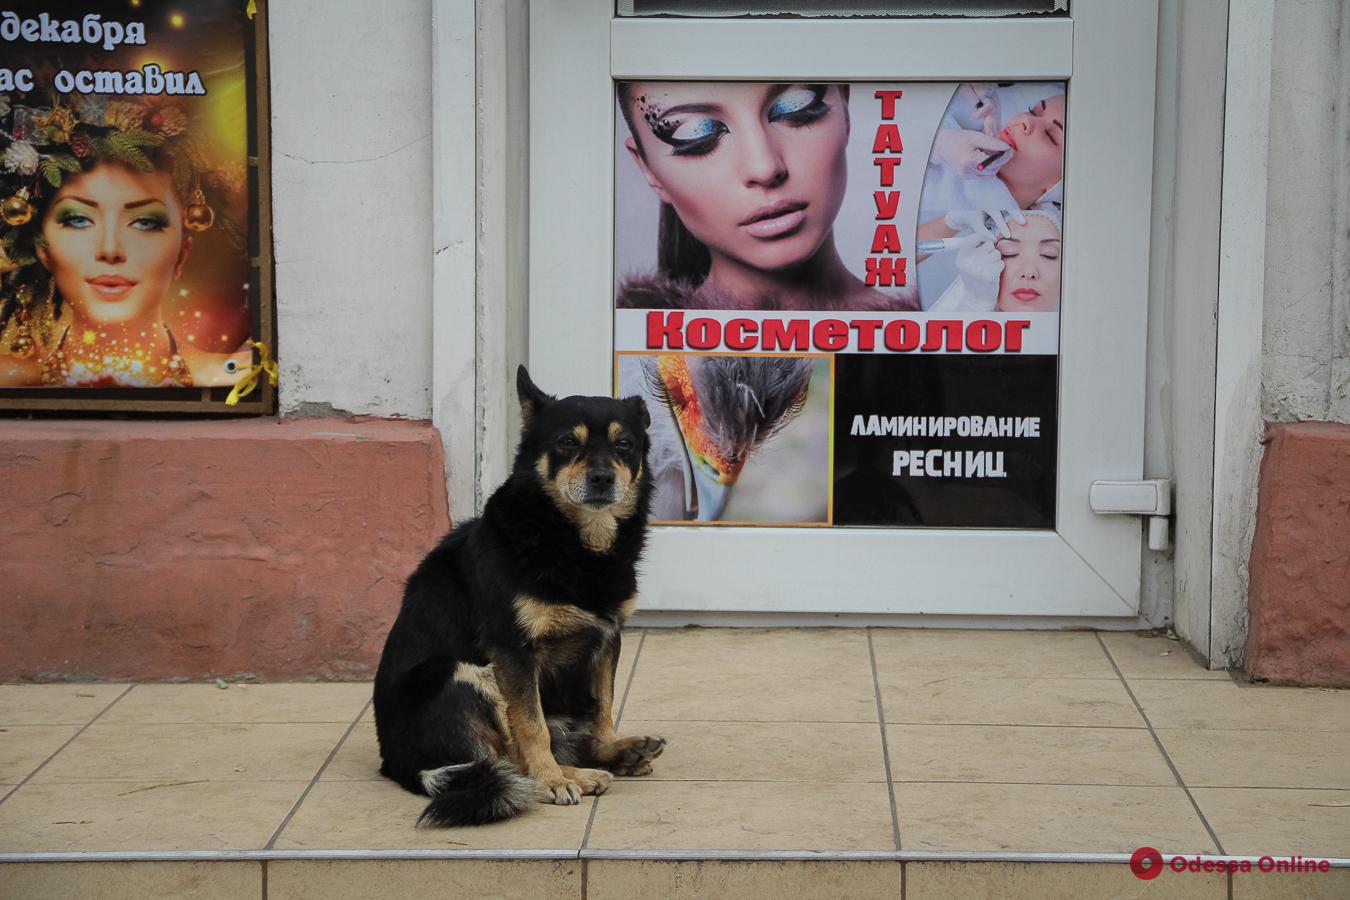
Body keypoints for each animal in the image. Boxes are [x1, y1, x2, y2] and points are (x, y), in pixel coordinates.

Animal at [372, 364, 666, 825]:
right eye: (567, 442)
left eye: (625, 445)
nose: (603, 478)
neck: (570, 541)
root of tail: (397, 762)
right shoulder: (512, 650)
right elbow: (531, 725)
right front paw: (551, 780)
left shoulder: (607, 638)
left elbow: (603, 704)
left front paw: (609, 744)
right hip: (459, 672)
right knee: (503, 757)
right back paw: (568, 776)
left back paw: (615, 755)